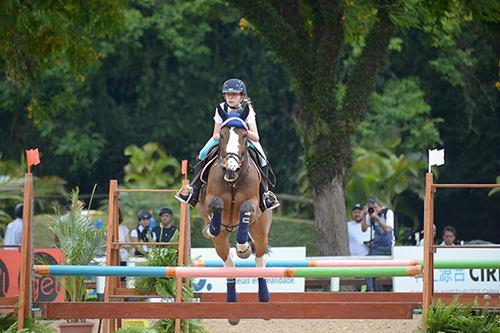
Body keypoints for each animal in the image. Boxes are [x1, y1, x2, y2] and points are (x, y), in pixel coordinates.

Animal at [196, 104, 274, 324]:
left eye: (245, 135)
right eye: (221, 135)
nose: (231, 169)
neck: (233, 181)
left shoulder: (253, 205)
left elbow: (245, 210)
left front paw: (242, 246)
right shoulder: (208, 201)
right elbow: (216, 204)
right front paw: (213, 227)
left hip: (261, 230)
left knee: (260, 259)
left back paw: (263, 297)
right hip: (220, 242)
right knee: (228, 262)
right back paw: (232, 306)